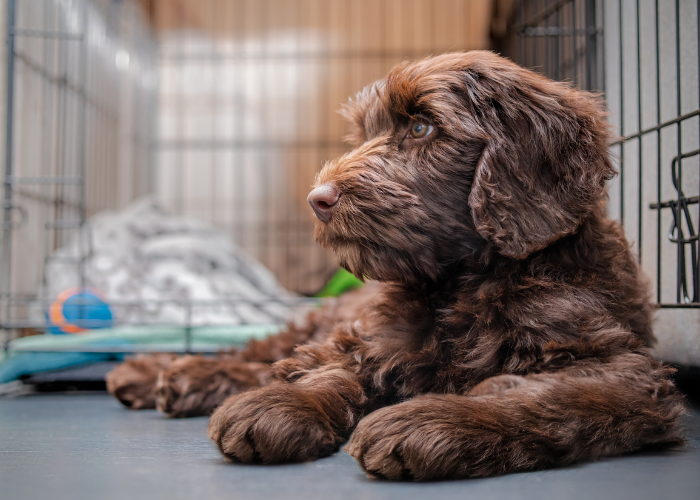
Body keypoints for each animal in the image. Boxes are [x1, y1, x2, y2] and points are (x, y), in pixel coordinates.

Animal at [206, 51, 684, 480]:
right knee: (259, 353)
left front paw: (431, 422)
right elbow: (336, 367)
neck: (466, 280)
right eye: (364, 133)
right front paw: (284, 403)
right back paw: (191, 375)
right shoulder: (374, 335)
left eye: (421, 127)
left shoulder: (621, 369)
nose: (317, 200)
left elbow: (543, 395)